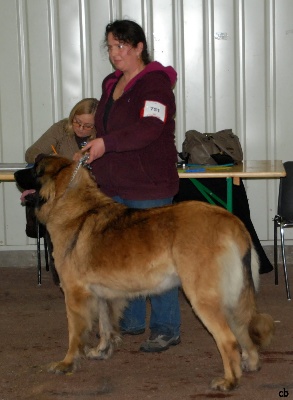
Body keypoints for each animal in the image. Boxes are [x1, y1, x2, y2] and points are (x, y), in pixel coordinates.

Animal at [13, 155, 274, 390]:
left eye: (35, 168)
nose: (15, 174)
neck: (74, 207)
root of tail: (232, 221)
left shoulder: (74, 294)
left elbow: (75, 334)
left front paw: (67, 363)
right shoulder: (102, 294)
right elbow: (105, 326)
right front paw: (102, 351)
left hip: (203, 298)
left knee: (228, 339)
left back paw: (230, 381)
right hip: (233, 297)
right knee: (242, 329)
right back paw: (250, 363)